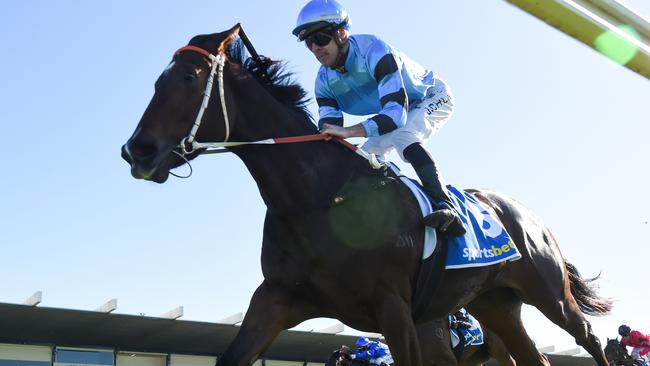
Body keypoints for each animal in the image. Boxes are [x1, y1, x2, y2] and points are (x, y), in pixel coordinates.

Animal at [121, 25, 612, 366]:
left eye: (188, 77)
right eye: (156, 82)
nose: (136, 151)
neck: (316, 199)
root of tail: (525, 214)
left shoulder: (395, 309)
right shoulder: (278, 297)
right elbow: (231, 355)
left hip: (548, 292)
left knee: (588, 336)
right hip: (495, 305)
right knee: (534, 356)